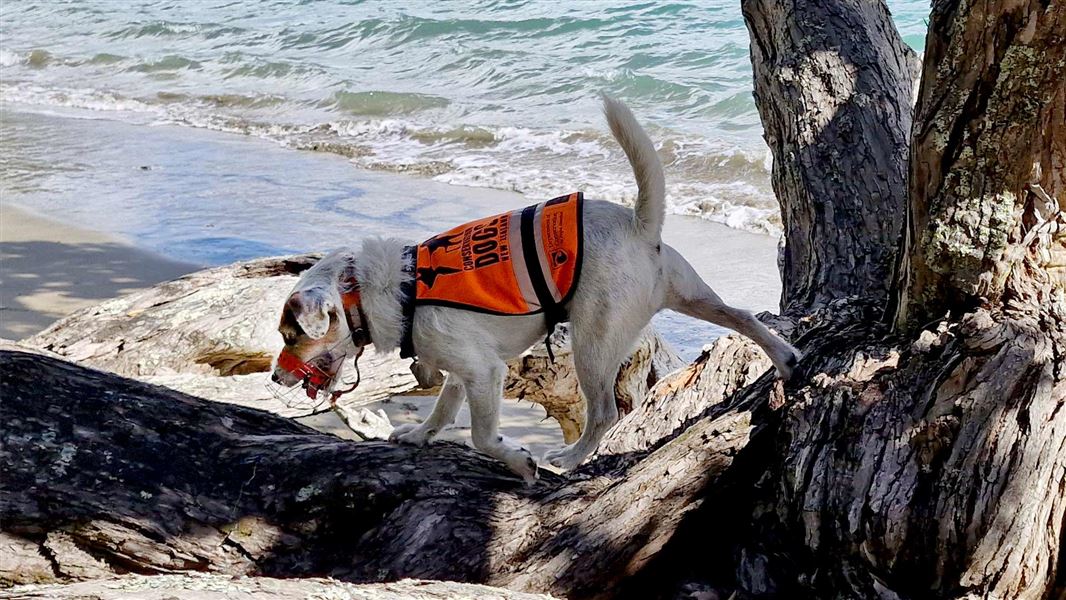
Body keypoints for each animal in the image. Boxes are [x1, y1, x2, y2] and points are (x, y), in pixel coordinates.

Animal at [270, 98, 797, 483]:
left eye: (291, 335)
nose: (274, 378)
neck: (392, 289)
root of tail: (638, 224)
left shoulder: (484, 372)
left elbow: (483, 436)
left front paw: (520, 461)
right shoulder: (464, 372)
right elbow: (442, 409)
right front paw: (420, 435)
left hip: (592, 344)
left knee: (604, 413)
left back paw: (569, 458)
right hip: (690, 296)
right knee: (744, 316)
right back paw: (786, 360)